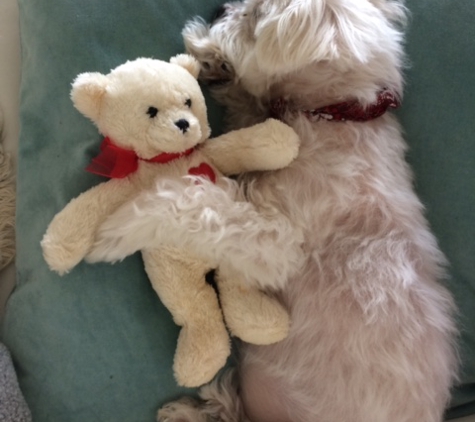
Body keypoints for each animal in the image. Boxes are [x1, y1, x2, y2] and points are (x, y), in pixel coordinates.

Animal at [92, 0, 458, 422]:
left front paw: (119, 228)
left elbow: (198, 202)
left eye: (253, 16)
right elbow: (246, 108)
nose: (218, 9)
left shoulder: (277, 247)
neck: (332, 114)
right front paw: (211, 58)